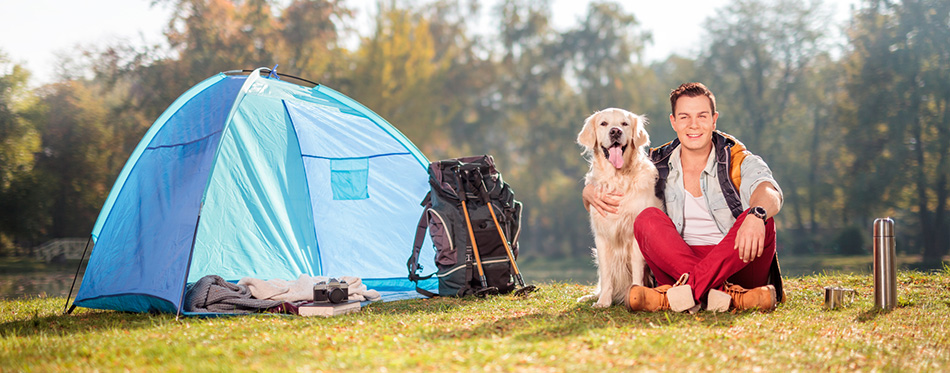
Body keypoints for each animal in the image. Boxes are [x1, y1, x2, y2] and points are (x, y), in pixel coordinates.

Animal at [576, 106, 664, 306]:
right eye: (603, 123)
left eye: (624, 123)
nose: (615, 131)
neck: (618, 178)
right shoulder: (601, 236)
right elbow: (607, 274)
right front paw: (603, 302)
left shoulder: (635, 235)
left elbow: (637, 271)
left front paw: (636, 295)